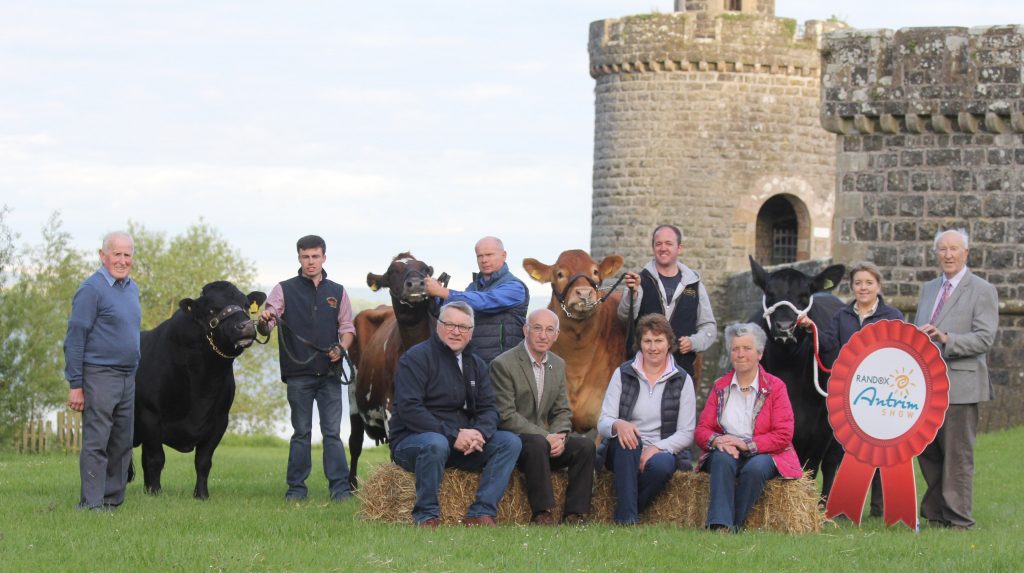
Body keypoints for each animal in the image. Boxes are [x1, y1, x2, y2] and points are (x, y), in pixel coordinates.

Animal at [132, 280, 266, 497]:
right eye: (212, 309)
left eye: (246, 305)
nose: (245, 326)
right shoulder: (150, 415)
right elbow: (156, 459)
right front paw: (156, 493)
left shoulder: (220, 420)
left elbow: (203, 461)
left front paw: (201, 495)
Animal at [346, 253, 438, 487]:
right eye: (391, 272)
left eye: (424, 269)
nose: (416, 283)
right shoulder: (390, 405)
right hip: (352, 391)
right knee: (355, 442)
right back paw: (351, 486)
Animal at [749, 254, 843, 501]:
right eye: (770, 293)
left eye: (804, 296)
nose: (784, 327)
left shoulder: (820, 430)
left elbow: (810, 469)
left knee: (832, 464)